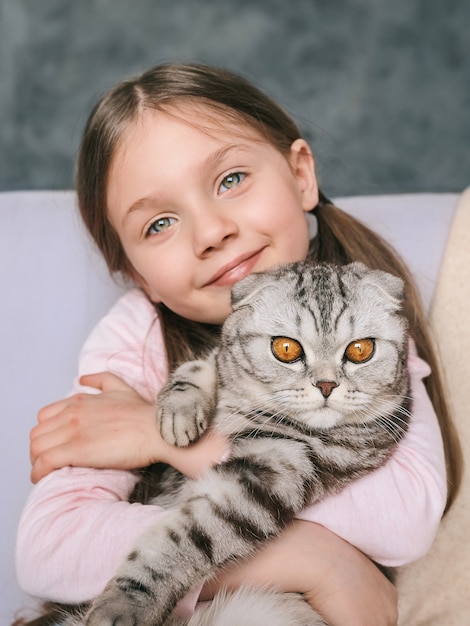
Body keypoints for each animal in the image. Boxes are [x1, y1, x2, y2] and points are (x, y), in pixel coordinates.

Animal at [84, 260, 412, 624]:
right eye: (286, 349)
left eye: (360, 350)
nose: (326, 385)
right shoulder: (221, 362)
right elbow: (205, 364)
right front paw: (179, 410)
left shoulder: (271, 471)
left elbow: (184, 540)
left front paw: (126, 603)